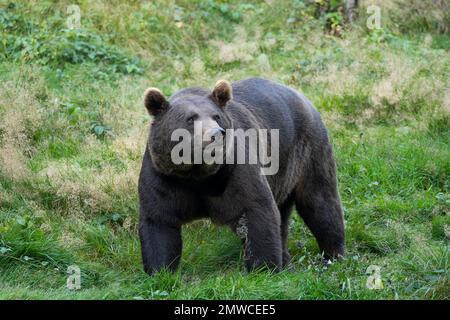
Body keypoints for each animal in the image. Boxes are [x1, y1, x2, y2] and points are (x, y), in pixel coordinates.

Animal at [139, 77, 346, 276]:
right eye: (190, 118)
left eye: (216, 116)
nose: (216, 134)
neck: (198, 175)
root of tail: (301, 96)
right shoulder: (164, 176)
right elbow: (159, 222)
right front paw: (160, 271)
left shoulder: (234, 171)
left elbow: (257, 209)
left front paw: (263, 268)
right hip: (282, 173)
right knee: (284, 216)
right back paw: (287, 259)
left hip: (307, 153)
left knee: (320, 202)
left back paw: (333, 255)